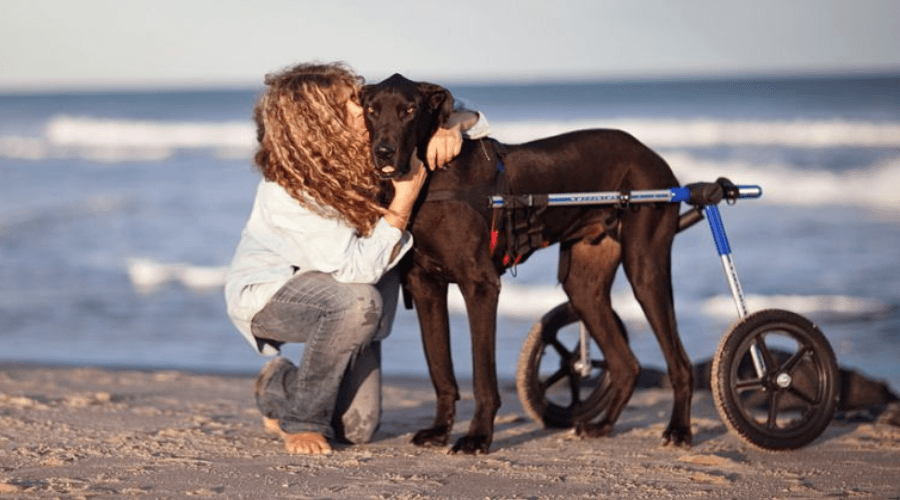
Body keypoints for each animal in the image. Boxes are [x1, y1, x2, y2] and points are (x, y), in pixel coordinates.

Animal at [362, 74, 692, 454]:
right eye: (372, 110)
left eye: (409, 110)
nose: (383, 152)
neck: (434, 176)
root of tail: (652, 155)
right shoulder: (425, 286)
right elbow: (440, 369)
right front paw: (439, 430)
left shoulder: (480, 285)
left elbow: (482, 375)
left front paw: (477, 437)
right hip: (584, 285)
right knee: (626, 364)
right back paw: (602, 426)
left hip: (645, 266)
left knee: (679, 362)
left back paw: (679, 430)